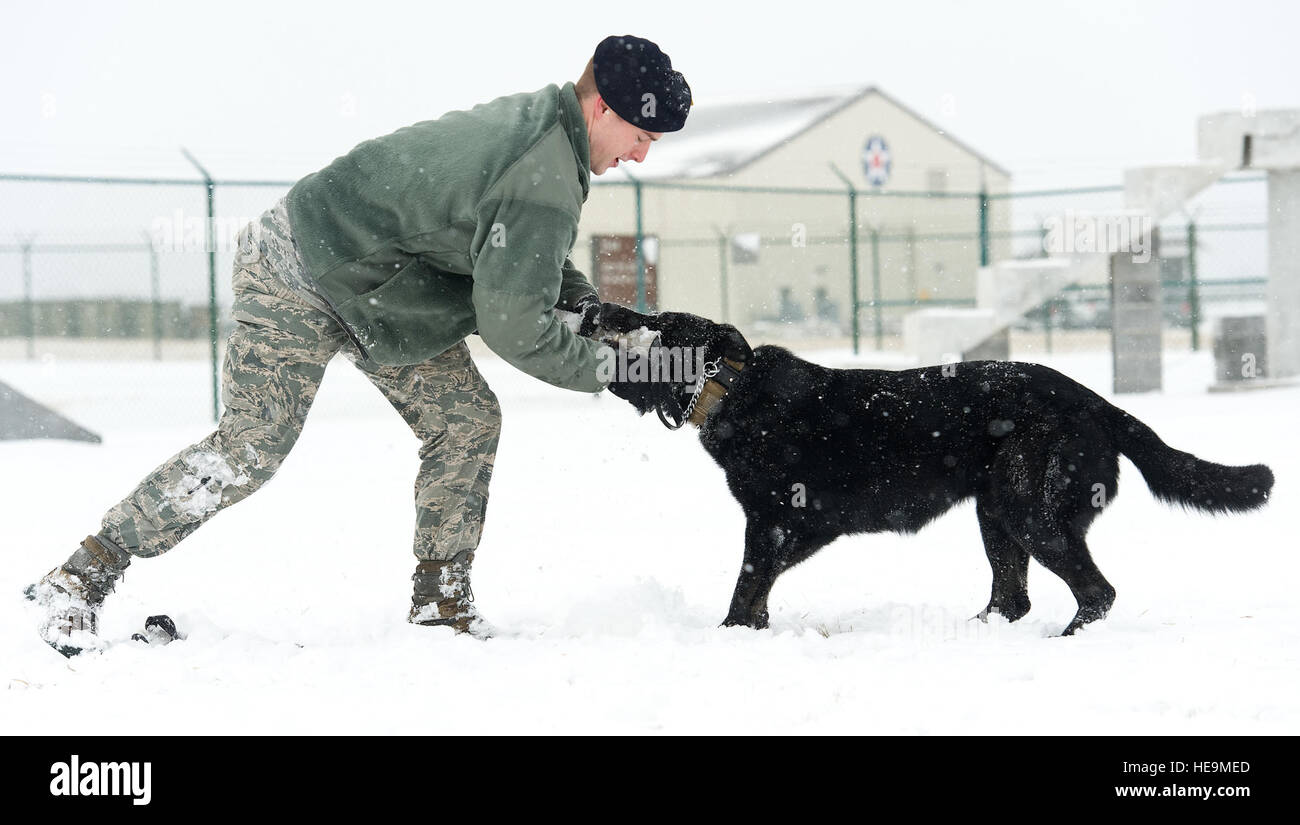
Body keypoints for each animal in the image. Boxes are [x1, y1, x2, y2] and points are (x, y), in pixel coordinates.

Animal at [598, 306, 1268, 636]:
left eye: (654, 324)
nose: (597, 311)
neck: (732, 389)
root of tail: (1096, 401)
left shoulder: (774, 523)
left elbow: (746, 586)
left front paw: (731, 636)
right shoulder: (793, 530)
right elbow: (758, 589)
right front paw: (752, 631)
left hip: (1029, 510)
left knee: (1095, 594)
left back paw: (1065, 642)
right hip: (997, 514)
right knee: (1012, 598)